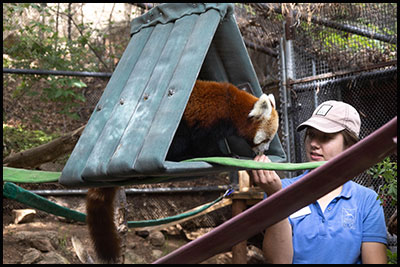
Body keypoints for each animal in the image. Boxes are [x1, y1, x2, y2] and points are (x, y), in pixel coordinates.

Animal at [86, 80, 278, 264]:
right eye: (266, 139)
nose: (265, 151)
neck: (231, 106)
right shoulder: (210, 119)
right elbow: (205, 143)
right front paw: (226, 154)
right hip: (176, 127)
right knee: (179, 141)